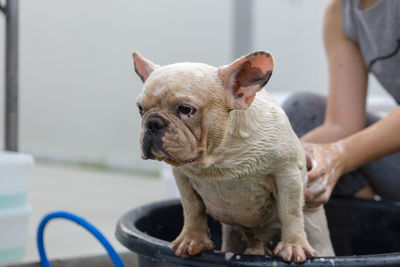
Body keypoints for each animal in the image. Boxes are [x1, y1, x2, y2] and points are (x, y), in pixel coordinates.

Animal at [132, 50, 334, 264]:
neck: (219, 157)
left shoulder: (288, 173)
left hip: (318, 236)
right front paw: (192, 239)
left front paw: (293, 245)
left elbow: (291, 211)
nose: (153, 123)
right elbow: (192, 208)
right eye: (140, 109)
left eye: (185, 109)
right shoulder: (183, 177)